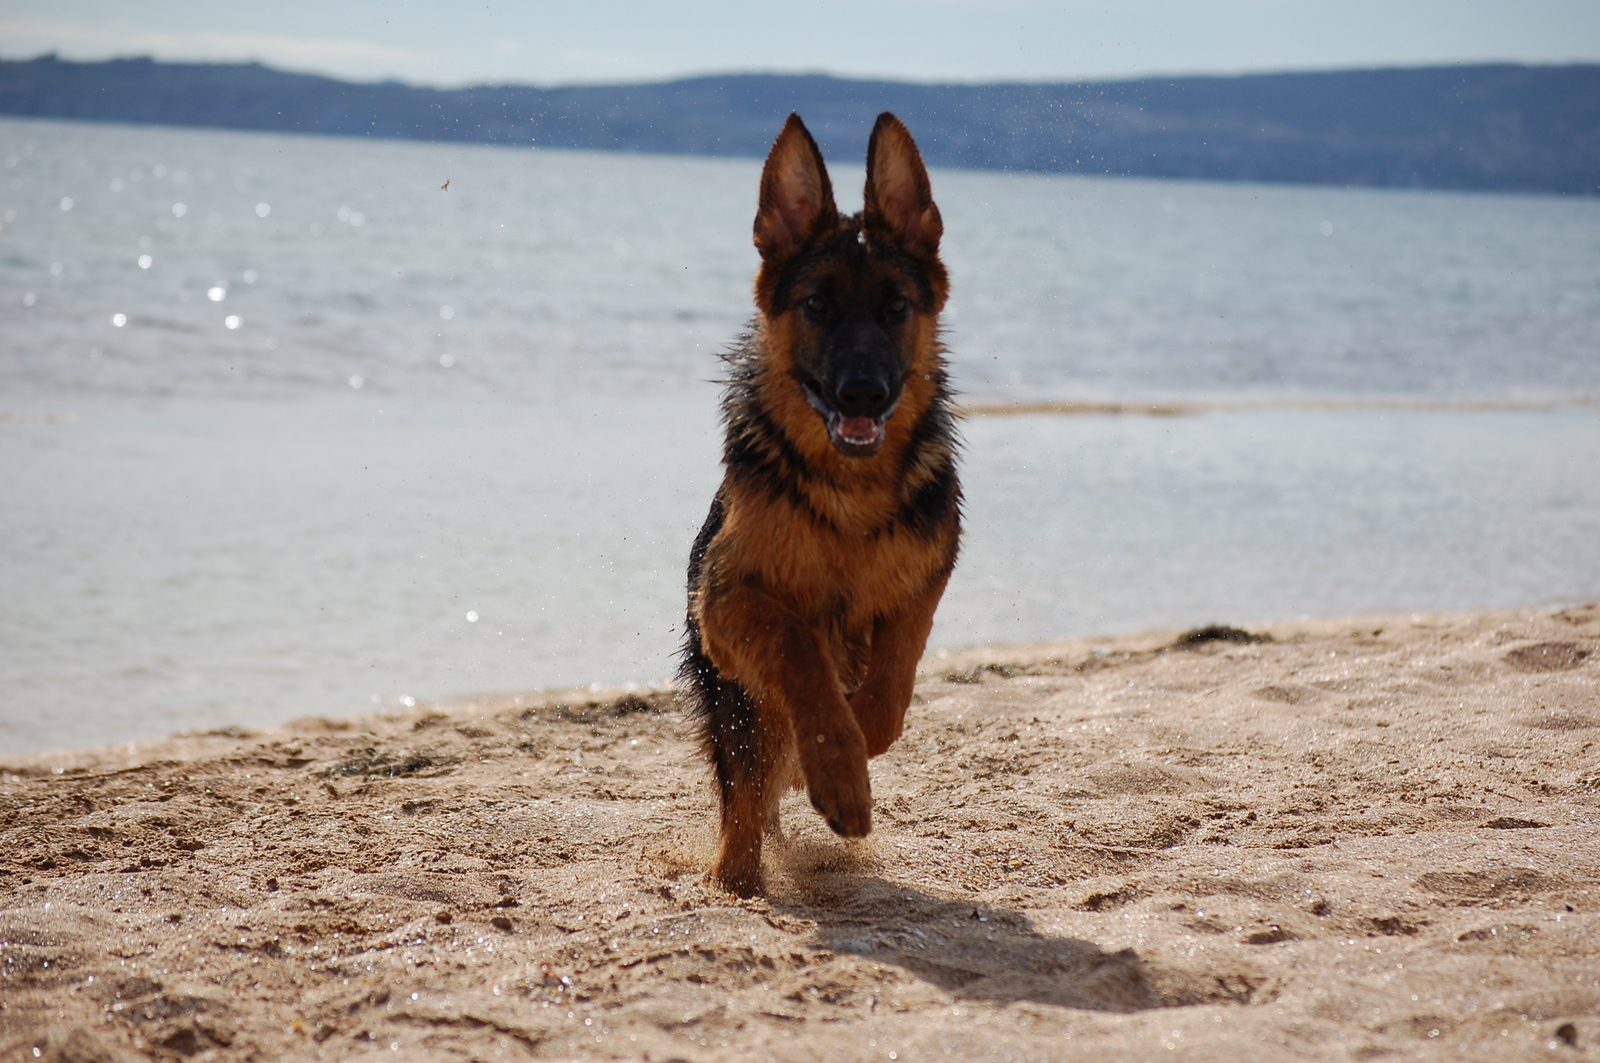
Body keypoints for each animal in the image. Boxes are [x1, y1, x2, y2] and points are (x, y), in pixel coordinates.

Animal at [678, 112, 953, 896]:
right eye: (817, 305)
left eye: (896, 307)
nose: (863, 394)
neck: (849, 492)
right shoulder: (726, 602)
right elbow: (800, 647)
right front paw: (836, 769)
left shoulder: (929, 574)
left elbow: (891, 684)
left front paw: (854, 743)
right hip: (733, 704)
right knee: (743, 799)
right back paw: (736, 875)